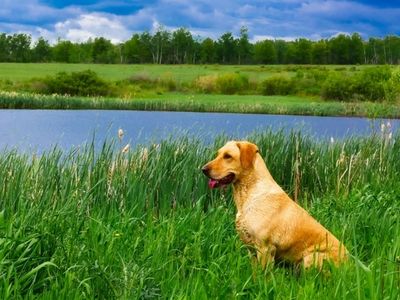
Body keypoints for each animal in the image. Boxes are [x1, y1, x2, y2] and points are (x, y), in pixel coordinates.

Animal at [203, 141, 346, 270]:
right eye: (218, 154)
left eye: (228, 156)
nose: (203, 169)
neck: (248, 195)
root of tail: (349, 263)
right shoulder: (251, 249)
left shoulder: (264, 248)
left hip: (312, 257)